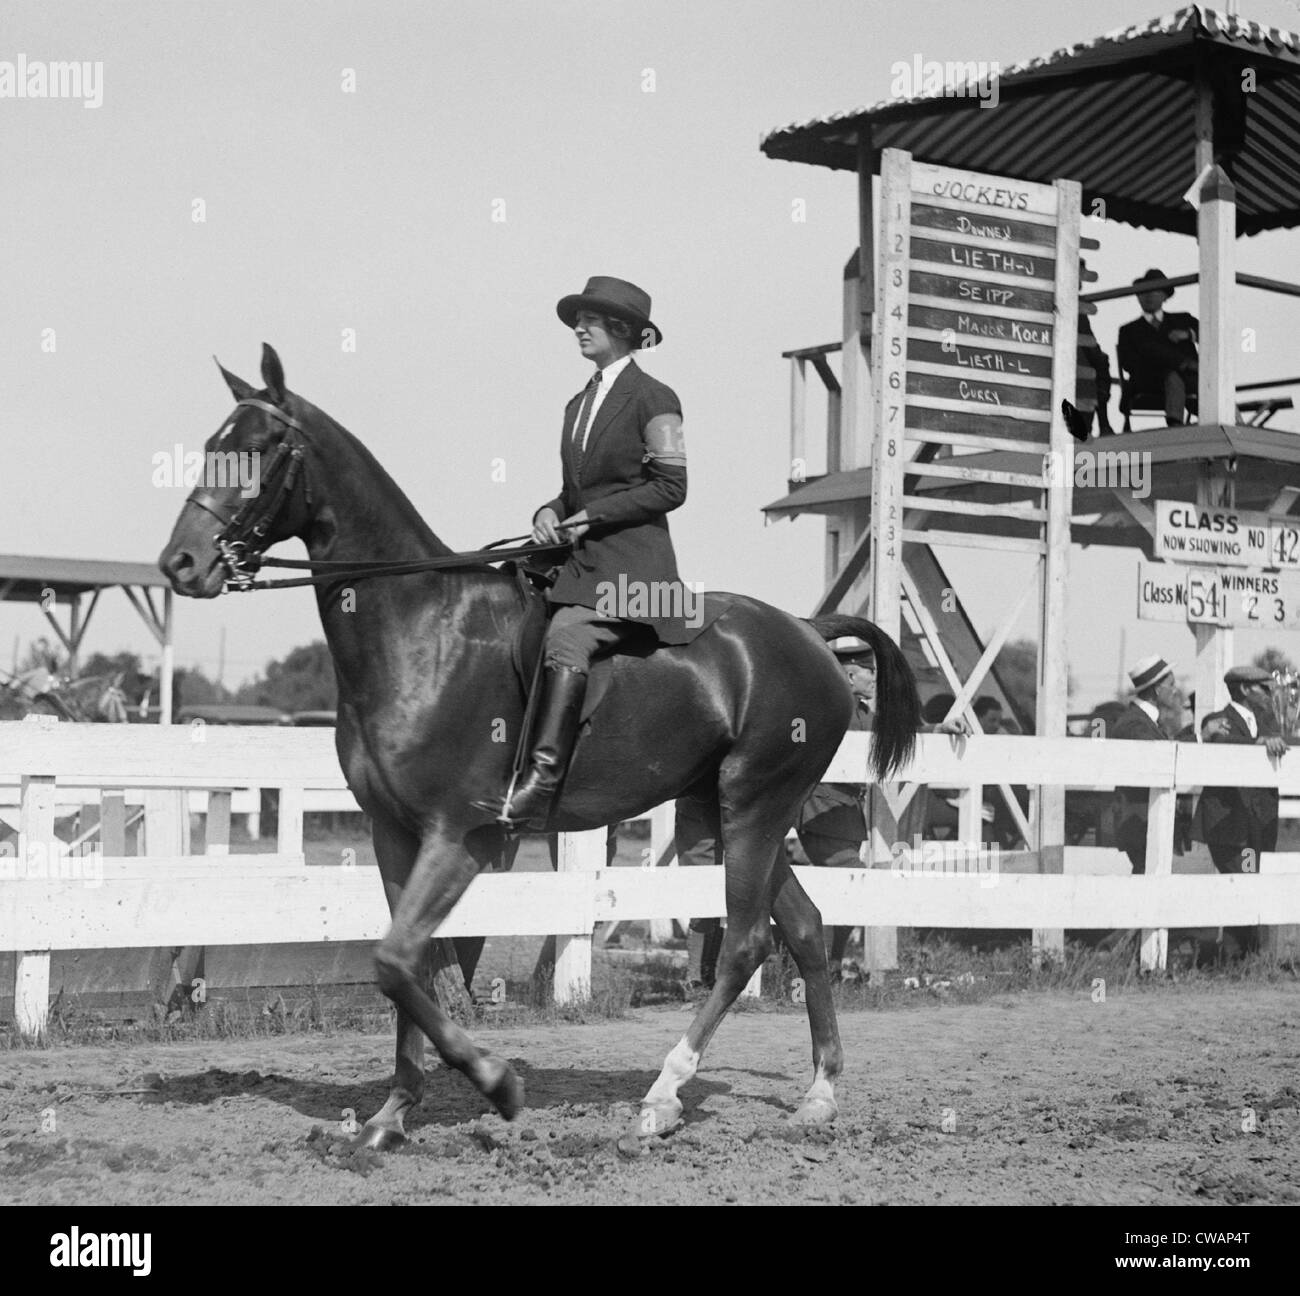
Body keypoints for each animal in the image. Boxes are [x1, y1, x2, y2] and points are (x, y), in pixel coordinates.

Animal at [157, 343, 920, 1143]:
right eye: (210, 446)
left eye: (259, 451)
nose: (181, 564)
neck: (417, 628)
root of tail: (810, 632)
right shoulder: (393, 833)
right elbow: (406, 966)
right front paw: (393, 1113)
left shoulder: (461, 836)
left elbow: (395, 961)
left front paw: (495, 1082)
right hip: (732, 809)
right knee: (803, 926)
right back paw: (820, 1091)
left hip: (755, 804)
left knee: (746, 942)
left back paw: (663, 1095)